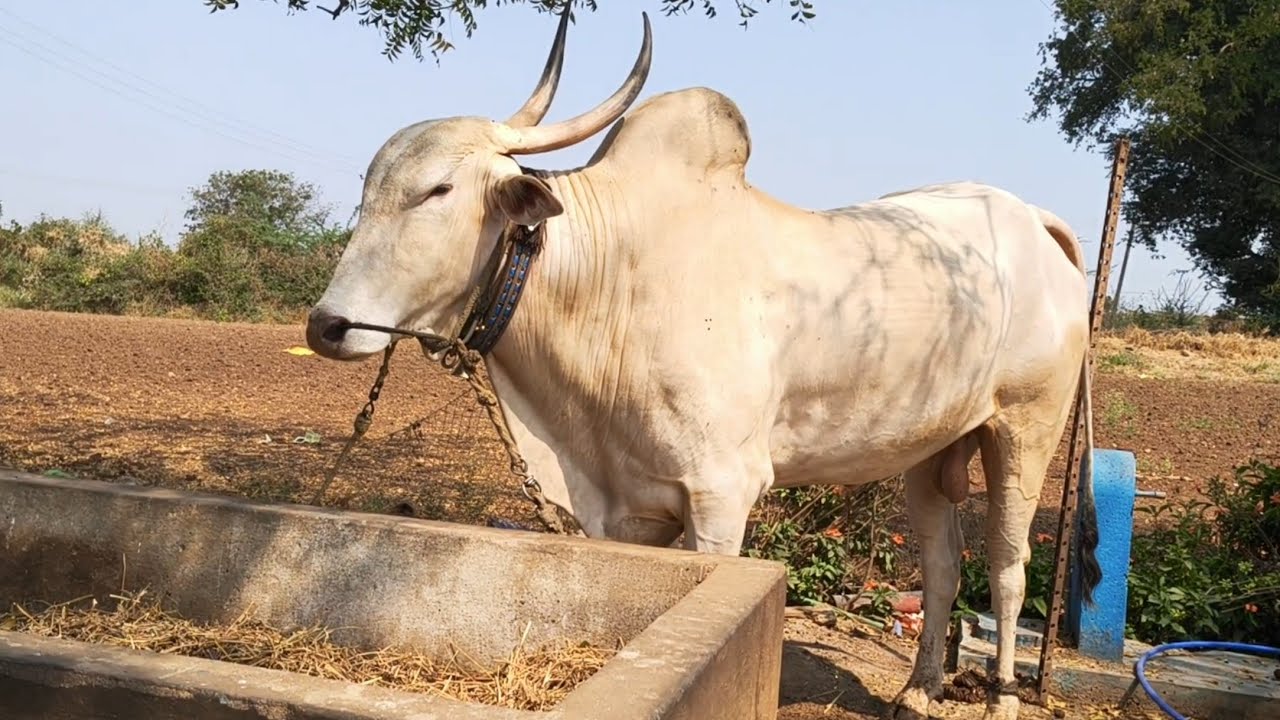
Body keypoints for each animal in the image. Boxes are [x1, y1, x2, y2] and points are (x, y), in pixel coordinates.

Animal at [304, 7, 1100, 720]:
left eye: (437, 190)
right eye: (368, 189)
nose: (327, 325)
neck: (609, 282)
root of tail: (1033, 220)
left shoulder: (723, 493)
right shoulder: (624, 505)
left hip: (1025, 429)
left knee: (1005, 570)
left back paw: (1000, 700)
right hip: (930, 449)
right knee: (941, 567)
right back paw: (917, 692)